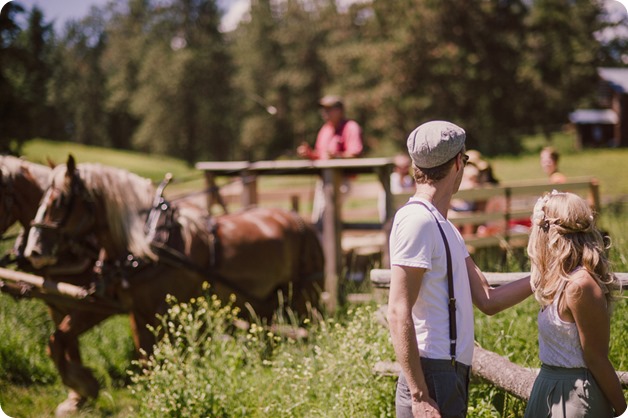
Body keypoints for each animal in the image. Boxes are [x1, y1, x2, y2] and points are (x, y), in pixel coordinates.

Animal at [23, 156, 324, 414]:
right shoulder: (133, 311)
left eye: (60, 200)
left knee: (315, 333)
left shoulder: (167, 312)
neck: (148, 245)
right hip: (263, 303)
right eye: (41, 197)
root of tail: (300, 220)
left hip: (306, 298)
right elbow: (68, 340)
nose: (34, 250)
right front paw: (86, 387)